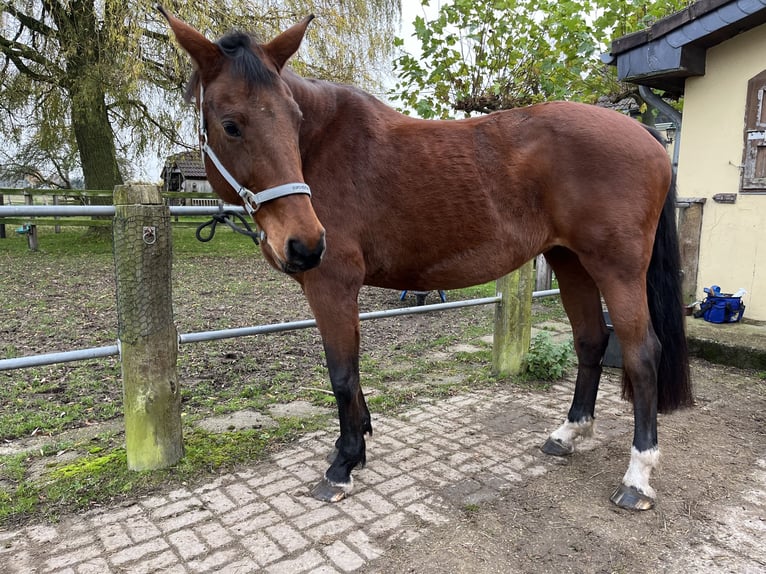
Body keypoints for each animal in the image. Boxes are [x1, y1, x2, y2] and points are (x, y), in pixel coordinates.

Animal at [159, 7, 692, 512]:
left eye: (294, 120)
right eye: (231, 124)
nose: (306, 243)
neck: (324, 146)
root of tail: (646, 135)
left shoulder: (332, 285)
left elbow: (342, 374)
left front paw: (343, 464)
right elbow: (352, 375)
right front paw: (357, 443)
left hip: (616, 269)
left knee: (642, 353)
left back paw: (637, 477)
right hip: (570, 262)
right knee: (590, 341)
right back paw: (569, 433)